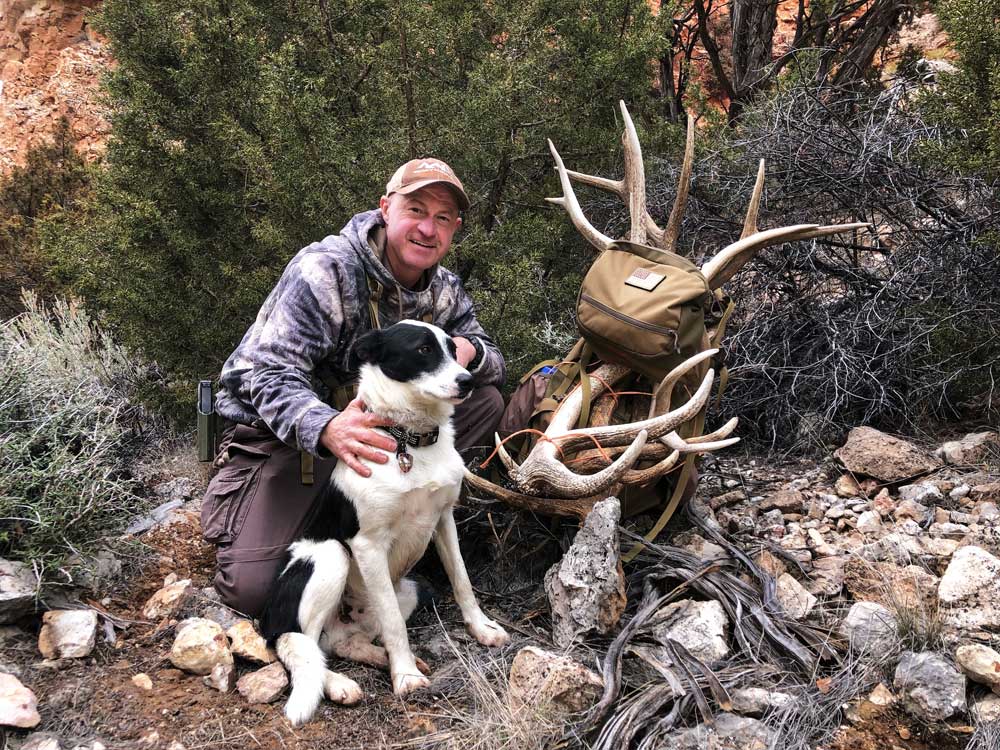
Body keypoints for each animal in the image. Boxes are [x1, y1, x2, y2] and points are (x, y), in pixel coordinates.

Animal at [260, 322, 508, 728]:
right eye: (422, 350)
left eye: (455, 349)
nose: (468, 380)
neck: (411, 442)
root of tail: (270, 619)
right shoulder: (368, 545)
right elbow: (394, 625)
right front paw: (406, 676)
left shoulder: (444, 519)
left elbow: (462, 580)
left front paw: (481, 627)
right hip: (330, 557)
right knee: (303, 644)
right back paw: (339, 683)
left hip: (412, 588)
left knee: (339, 643)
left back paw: (375, 658)